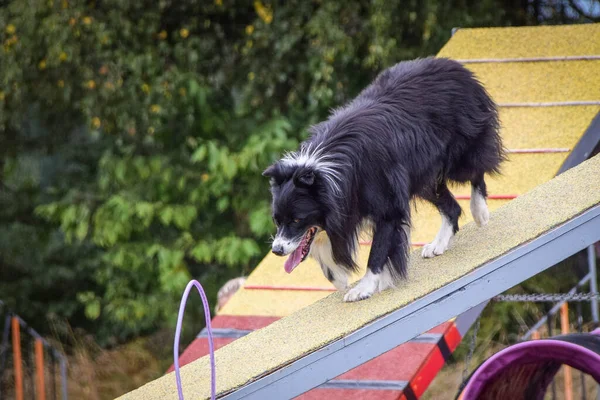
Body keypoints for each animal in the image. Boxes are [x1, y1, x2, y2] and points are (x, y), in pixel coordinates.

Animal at [262, 57, 502, 304]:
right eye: (277, 220)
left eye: (297, 220)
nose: (277, 250)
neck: (328, 171)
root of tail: (455, 65)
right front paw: (340, 278)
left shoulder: (381, 191)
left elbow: (379, 244)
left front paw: (362, 289)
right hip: (421, 173)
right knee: (450, 205)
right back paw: (437, 245)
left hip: (461, 143)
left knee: (476, 169)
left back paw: (480, 212)